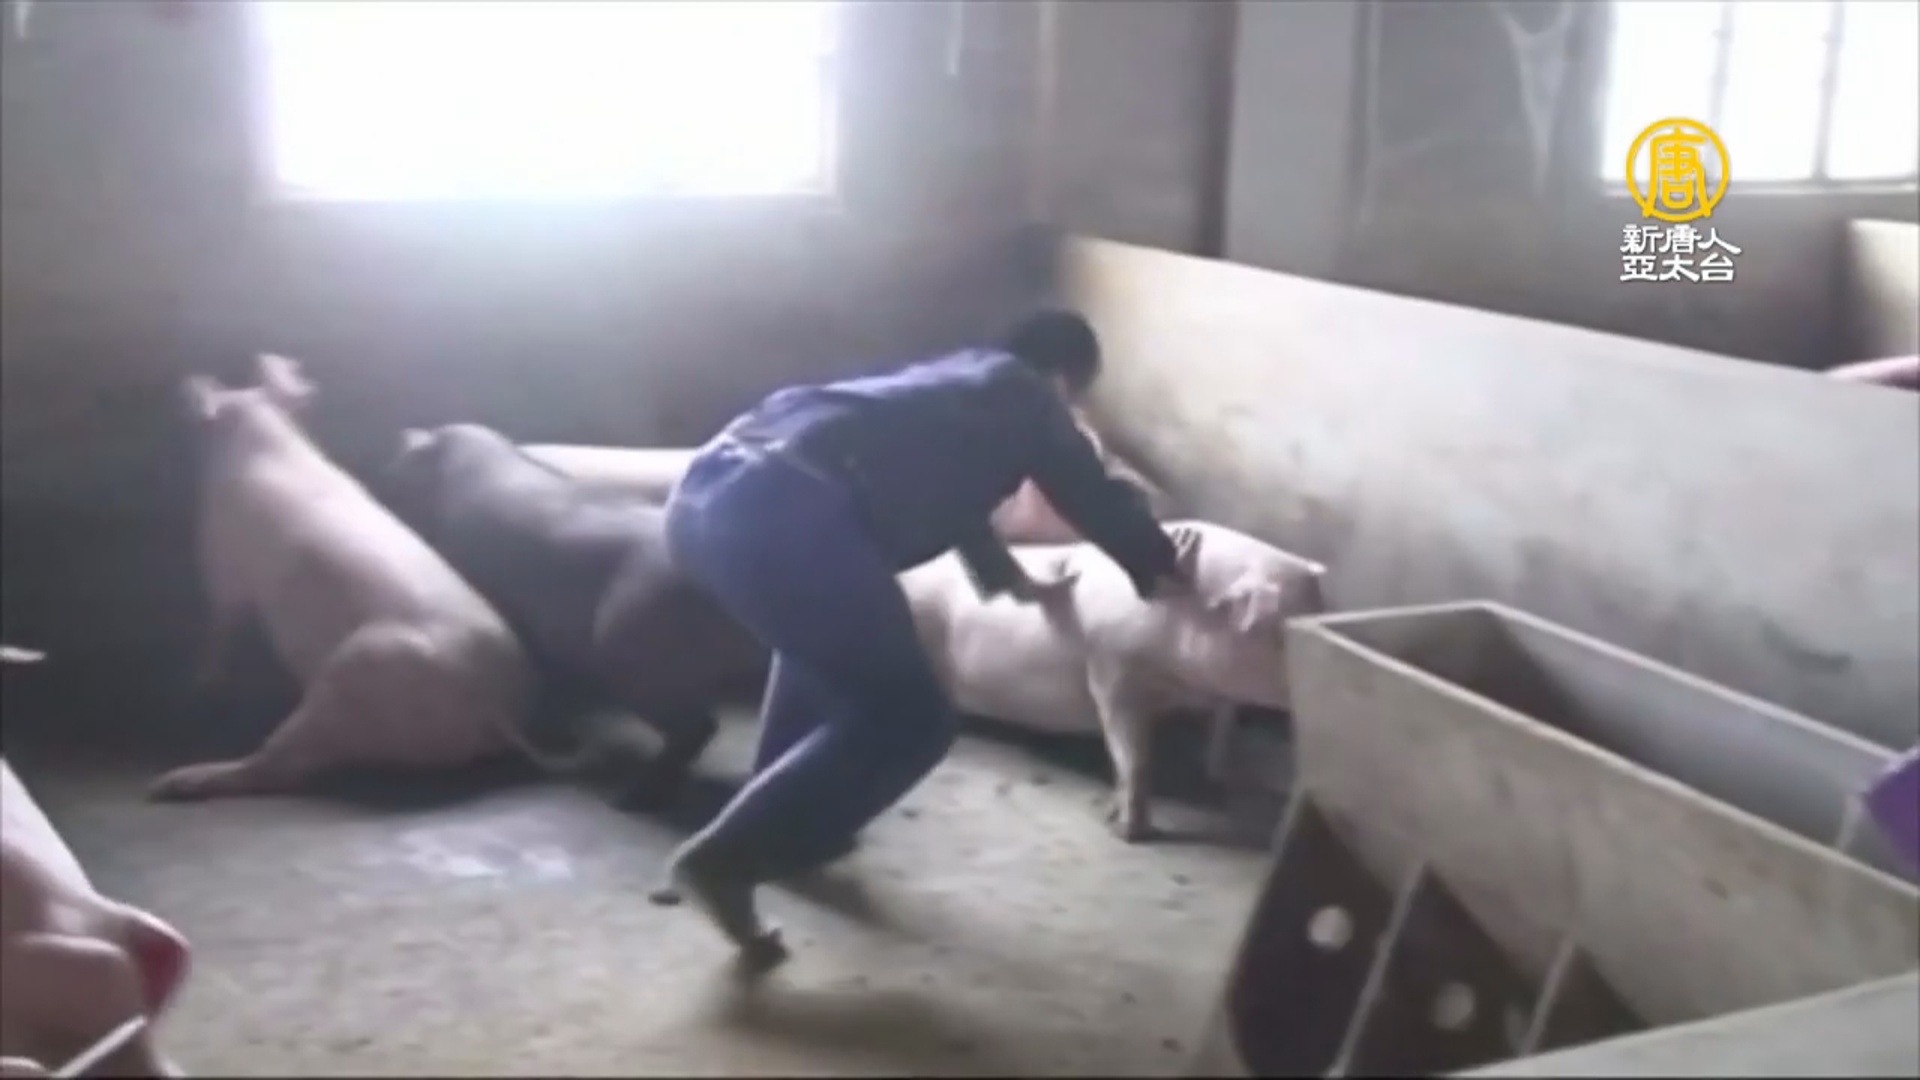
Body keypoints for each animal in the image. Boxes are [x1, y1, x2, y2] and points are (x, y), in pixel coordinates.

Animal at [158, 354, 538, 801]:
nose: (189, 380)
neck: (265, 439)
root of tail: (492, 705)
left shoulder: (221, 560)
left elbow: (220, 619)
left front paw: (201, 682)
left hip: (354, 671)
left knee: (278, 768)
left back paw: (173, 782)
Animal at [899, 521, 1328, 841]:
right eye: (1285, 633)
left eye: (1322, 608)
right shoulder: (1113, 668)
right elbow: (1133, 752)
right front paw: (1127, 831)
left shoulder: (1217, 689)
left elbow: (1222, 729)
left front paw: (1217, 780)